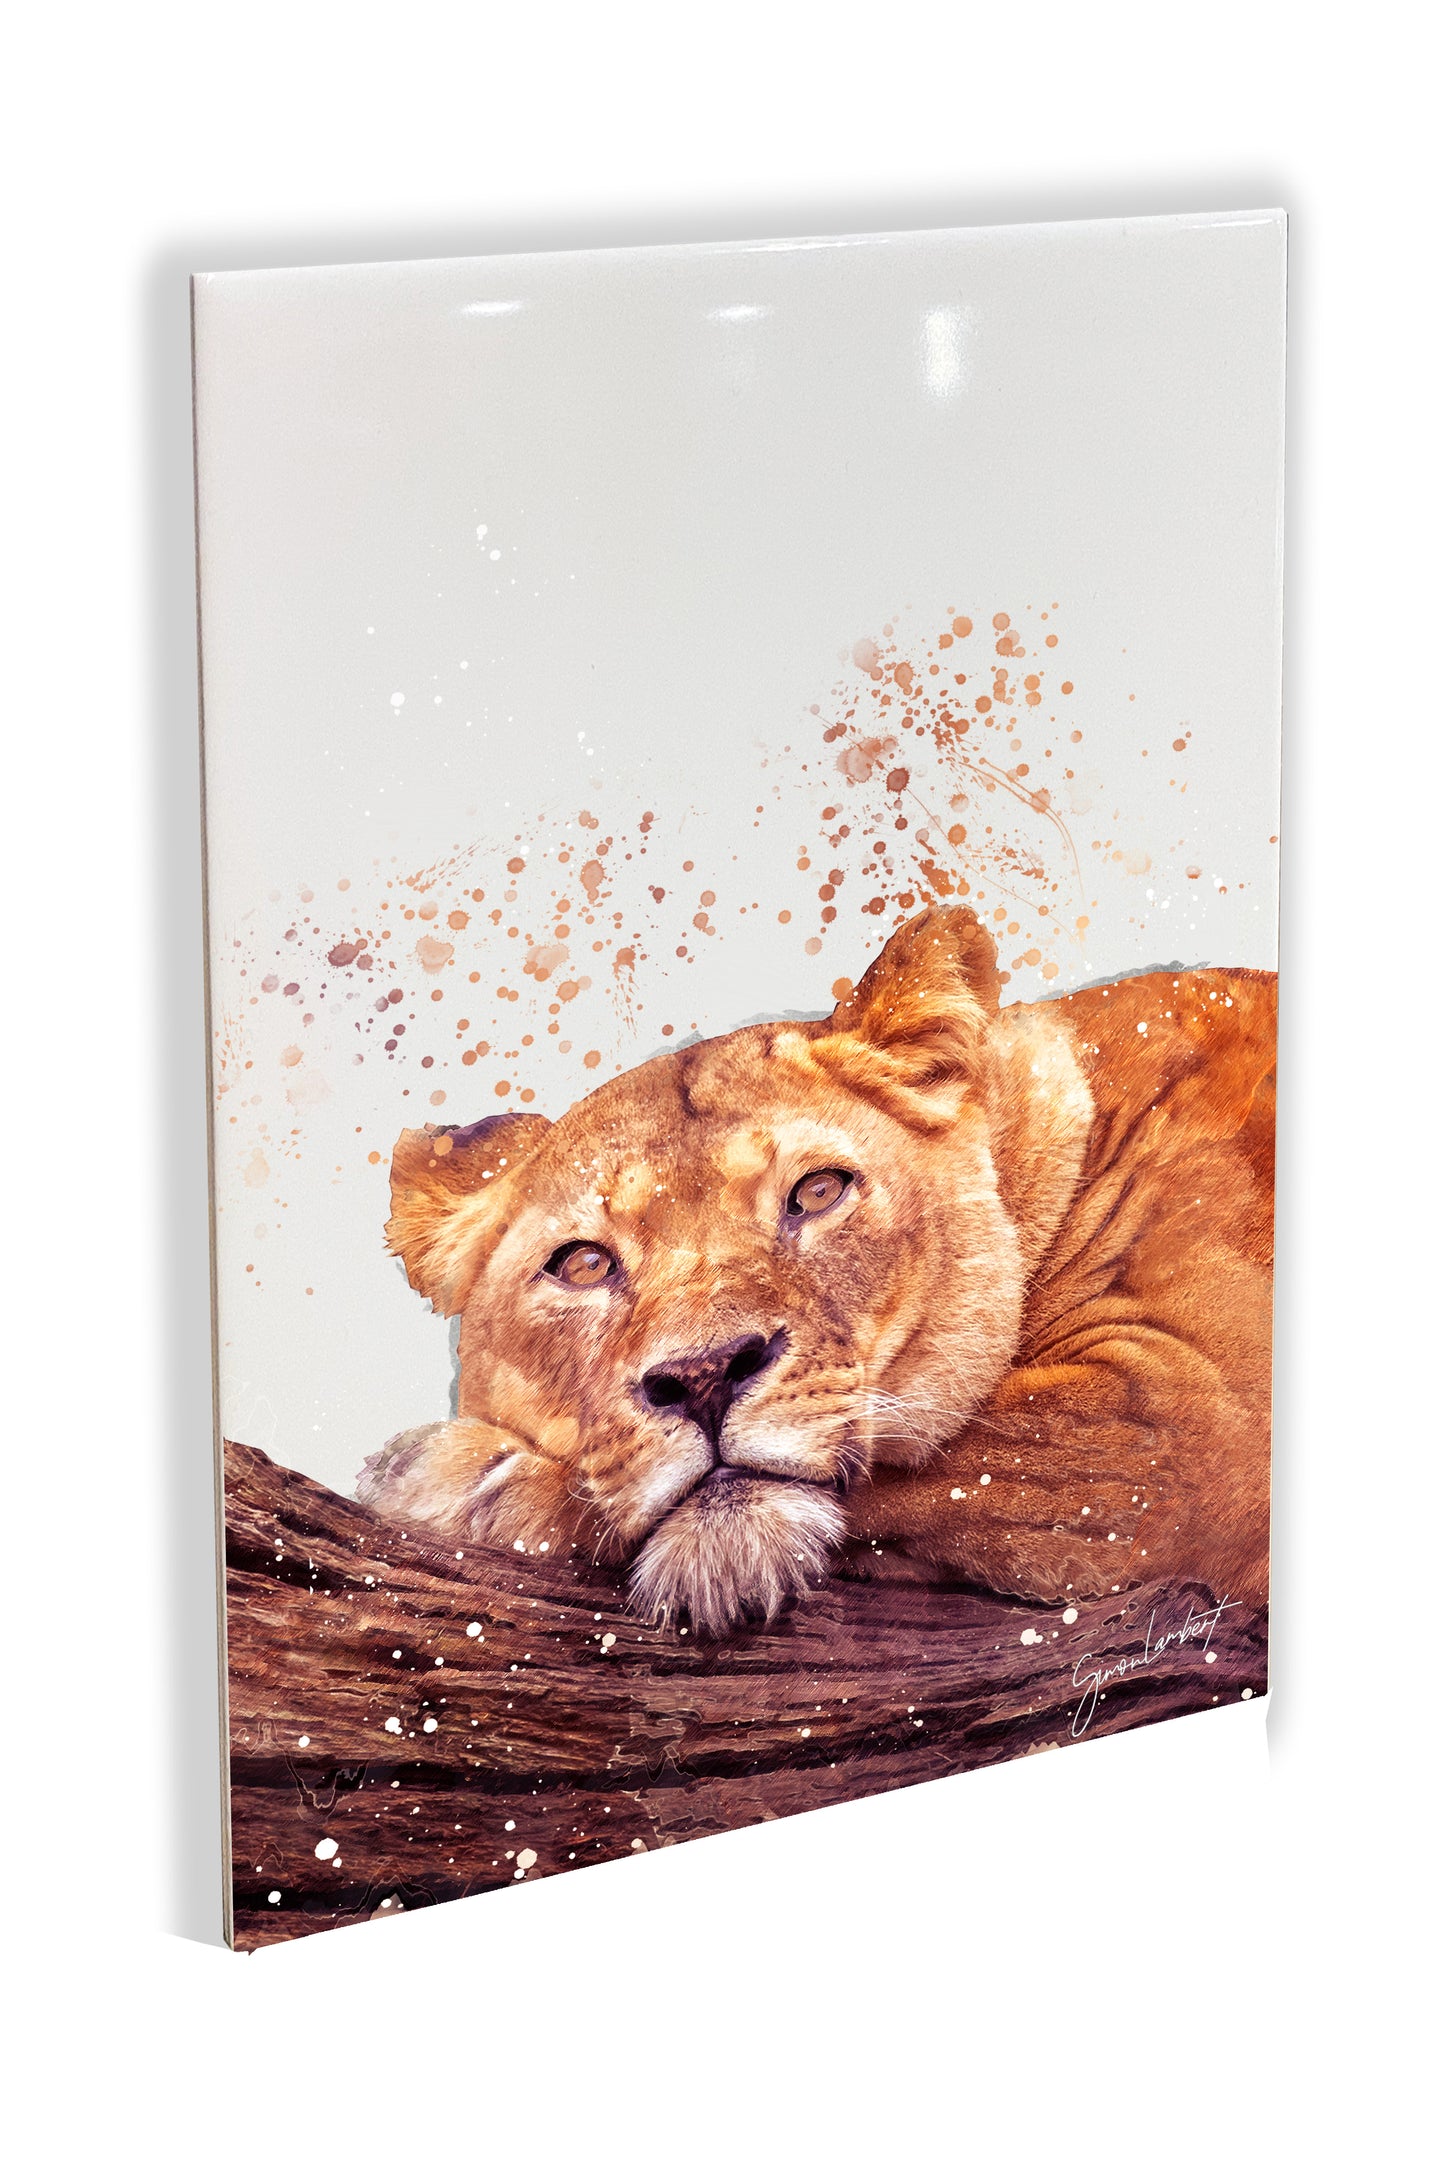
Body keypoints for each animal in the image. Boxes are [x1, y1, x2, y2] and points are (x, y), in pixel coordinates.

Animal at [359, 905, 1275, 1635]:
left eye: (818, 1191)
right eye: (582, 1263)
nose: (703, 1377)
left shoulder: (1187, 1413)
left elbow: (946, 1455)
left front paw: (450, 1480)